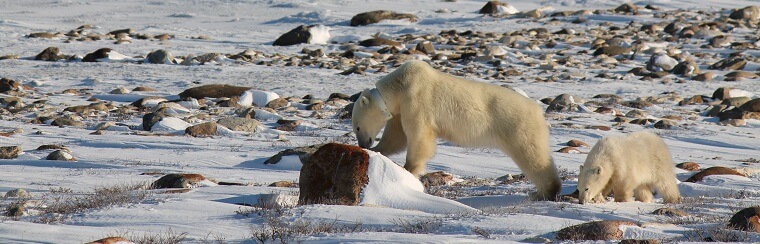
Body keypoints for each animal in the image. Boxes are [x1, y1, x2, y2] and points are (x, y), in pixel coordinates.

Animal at [354, 59, 560, 200]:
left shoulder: (416, 98)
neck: (399, 86)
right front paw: (379, 150)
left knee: (532, 154)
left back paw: (544, 192)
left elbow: (419, 136)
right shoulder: (400, 109)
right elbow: (397, 136)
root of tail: (537, 111)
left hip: (517, 125)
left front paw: (409, 169)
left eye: (357, 127)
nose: (363, 143)